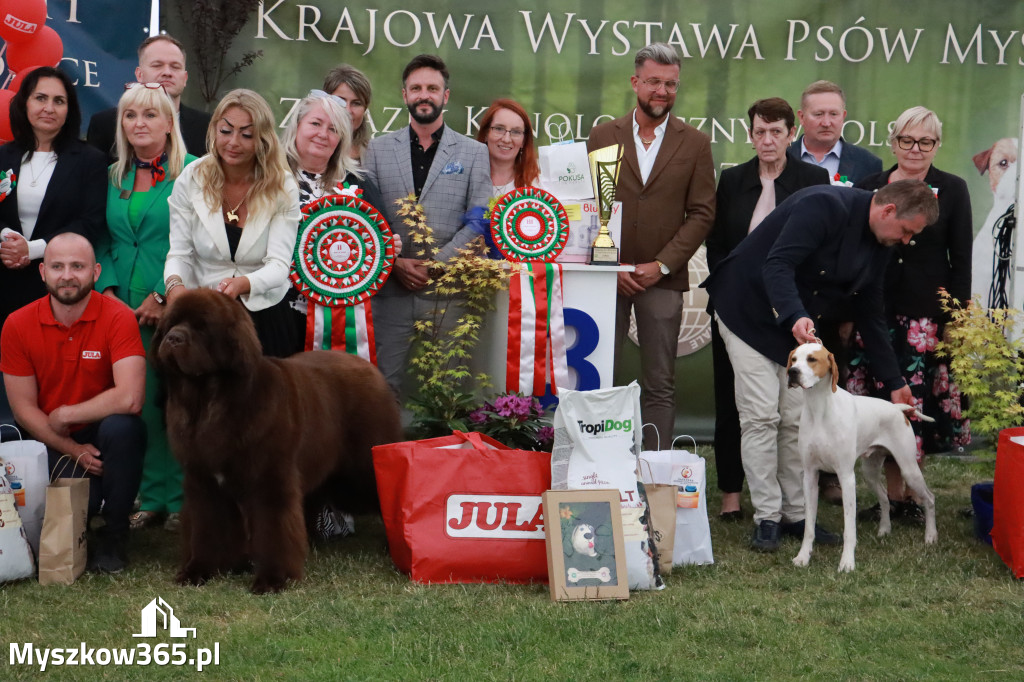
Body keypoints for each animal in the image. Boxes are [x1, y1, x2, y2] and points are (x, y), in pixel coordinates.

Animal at [151, 288, 399, 593]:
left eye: (201, 327)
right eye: (171, 324)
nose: (173, 338)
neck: (209, 400)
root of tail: (368, 367)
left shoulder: (270, 477)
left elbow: (274, 528)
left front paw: (272, 579)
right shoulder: (203, 481)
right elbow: (205, 527)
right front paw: (197, 571)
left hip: (360, 469)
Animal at [786, 339, 937, 569]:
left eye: (812, 359)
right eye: (793, 359)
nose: (792, 372)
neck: (819, 408)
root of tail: (898, 409)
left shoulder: (846, 477)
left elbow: (849, 528)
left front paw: (847, 562)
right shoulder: (810, 476)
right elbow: (809, 527)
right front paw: (803, 556)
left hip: (909, 468)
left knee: (929, 498)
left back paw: (930, 536)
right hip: (870, 472)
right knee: (885, 498)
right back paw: (885, 529)